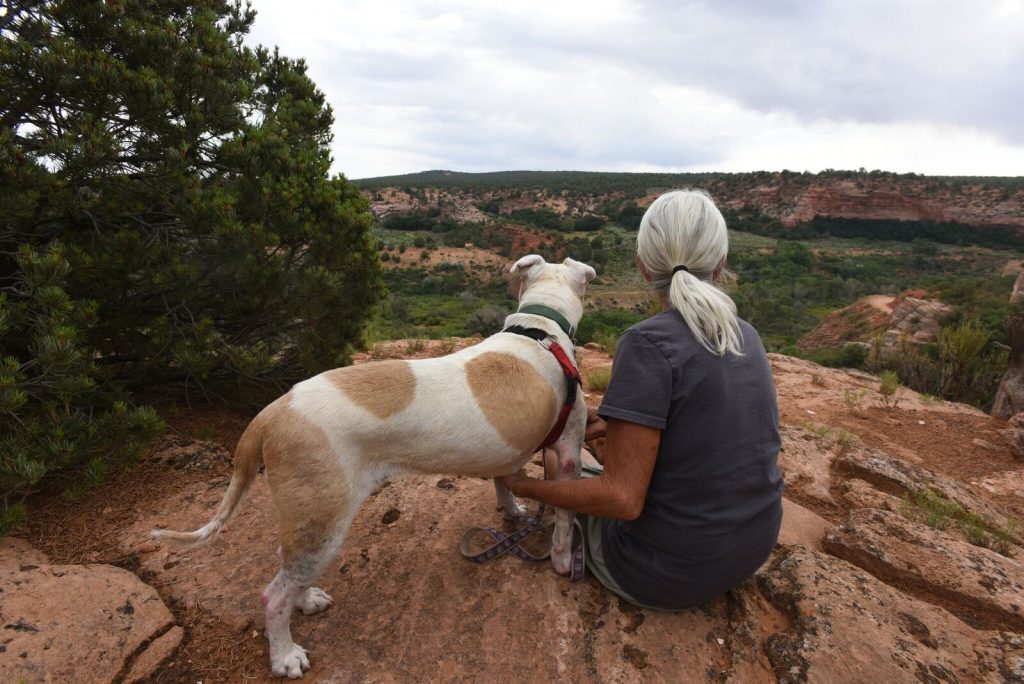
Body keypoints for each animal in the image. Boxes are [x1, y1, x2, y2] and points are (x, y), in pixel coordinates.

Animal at [154, 254, 598, 679]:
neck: (540, 327)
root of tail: (272, 412)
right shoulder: (569, 451)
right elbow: (564, 517)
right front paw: (562, 562)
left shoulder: (504, 452)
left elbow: (504, 482)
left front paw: (511, 510)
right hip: (326, 515)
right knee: (274, 593)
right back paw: (285, 656)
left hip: (310, 517)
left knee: (289, 563)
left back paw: (307, 599)